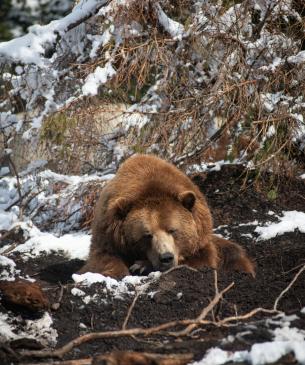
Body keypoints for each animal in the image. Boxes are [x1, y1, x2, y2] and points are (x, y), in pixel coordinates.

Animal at [79, 154, 254, 278]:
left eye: (173, 230)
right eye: (147, 235)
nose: (166, 258)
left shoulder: (200, 239)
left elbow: (202, 259)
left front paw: (142, 265)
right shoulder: (108, 234)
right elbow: (101, 260)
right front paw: (120, 270)